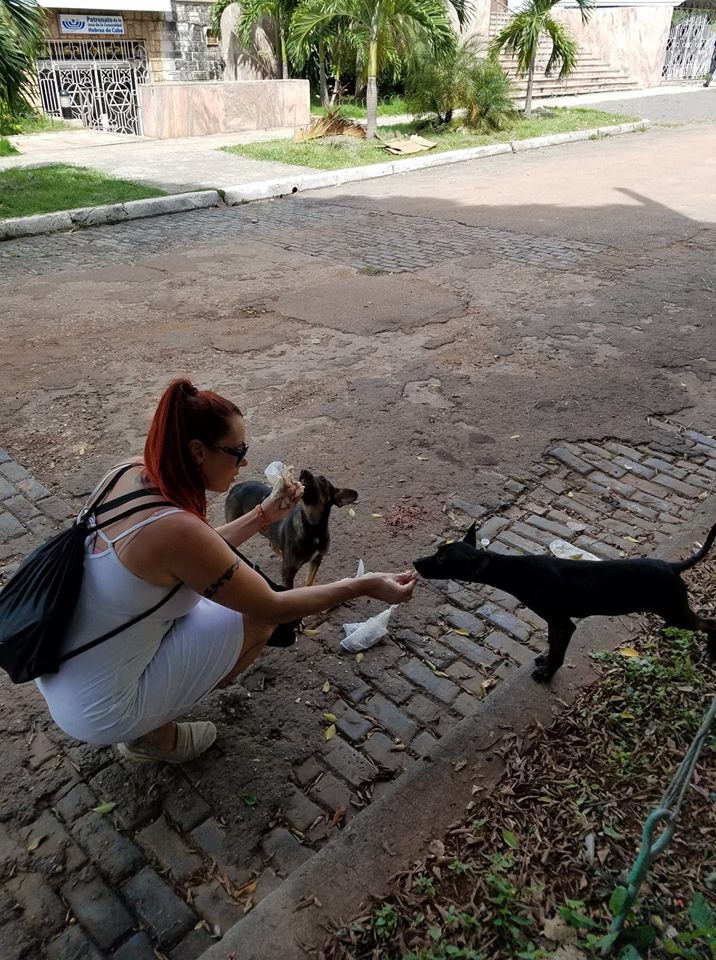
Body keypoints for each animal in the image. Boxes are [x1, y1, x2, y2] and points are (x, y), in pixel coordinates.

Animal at [225, 469, 358, 588]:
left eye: (323, 480)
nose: (304, 471)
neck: (312, 528)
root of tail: (235, 486)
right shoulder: (288, 574)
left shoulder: (317, 559)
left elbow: (309, 582)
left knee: (272, 544)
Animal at [414, 521, 716, 681]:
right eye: (438, 550)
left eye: (442, 559)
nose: (415, 563)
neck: (518, 571)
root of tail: (673, 567)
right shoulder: (553, 623)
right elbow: (552, 646)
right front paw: (545, 662)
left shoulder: (563, 623)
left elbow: (559, 653)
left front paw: (547, 674)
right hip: (672, 610)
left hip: (677, 609)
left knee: (709, 623)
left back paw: (710, 652)